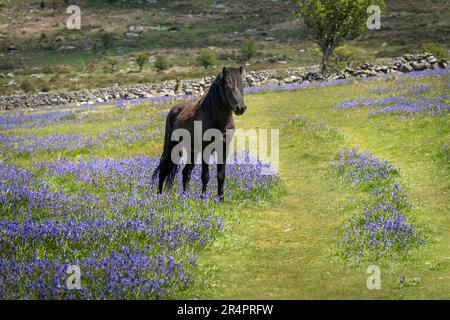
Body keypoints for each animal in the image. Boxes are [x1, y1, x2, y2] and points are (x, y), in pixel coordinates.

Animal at [154, 65, 246, 200]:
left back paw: (185, 196)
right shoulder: (205, 150)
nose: (241, 108)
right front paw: (203, 197)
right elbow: (205, 176)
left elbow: (221, 175)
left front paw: (221, 198)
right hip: (170, 146)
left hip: (192, 151)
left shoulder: (224, 149)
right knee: (163, 169)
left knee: (186, 172)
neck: (218, 120)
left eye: (242, 85)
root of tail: (173, 110)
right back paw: (159, 196)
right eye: (227, 87)